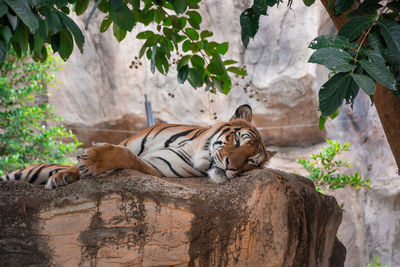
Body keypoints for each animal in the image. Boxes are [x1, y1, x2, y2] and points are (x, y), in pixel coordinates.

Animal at [0, 105, 276, 191]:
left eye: (251, 162)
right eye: (238, 141)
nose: (231, 167)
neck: (195, 148)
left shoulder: (157, 168)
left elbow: (126, 156)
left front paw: (91, 161)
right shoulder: (128, 141)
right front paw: (67, 174)